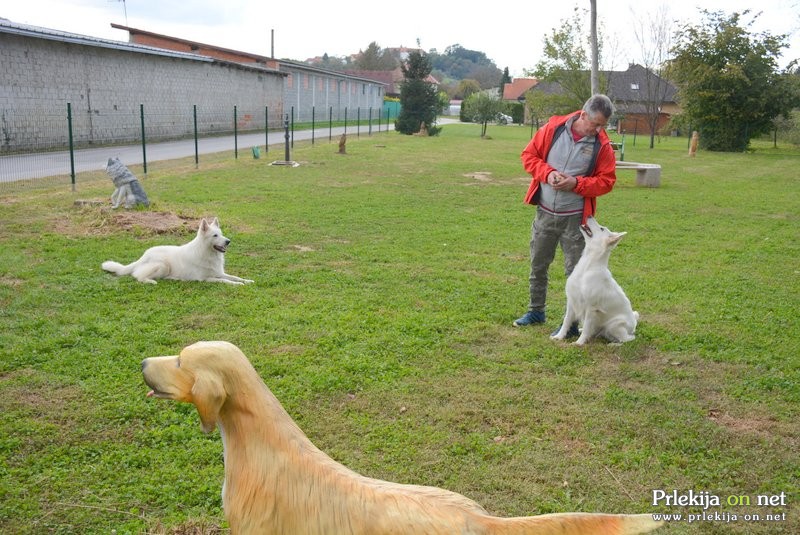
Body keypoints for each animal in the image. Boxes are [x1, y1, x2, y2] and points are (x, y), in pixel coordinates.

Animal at [552, 217, 636, 346]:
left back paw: (613, 344)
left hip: (615, 326)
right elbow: (566, 321)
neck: (587, 267)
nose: (589, 216)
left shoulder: (591, 308)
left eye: (601, 228)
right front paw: (559, 337)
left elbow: (587, 327)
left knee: (628, 339)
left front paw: (579, 343)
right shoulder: (571, 301)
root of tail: (634, 324)